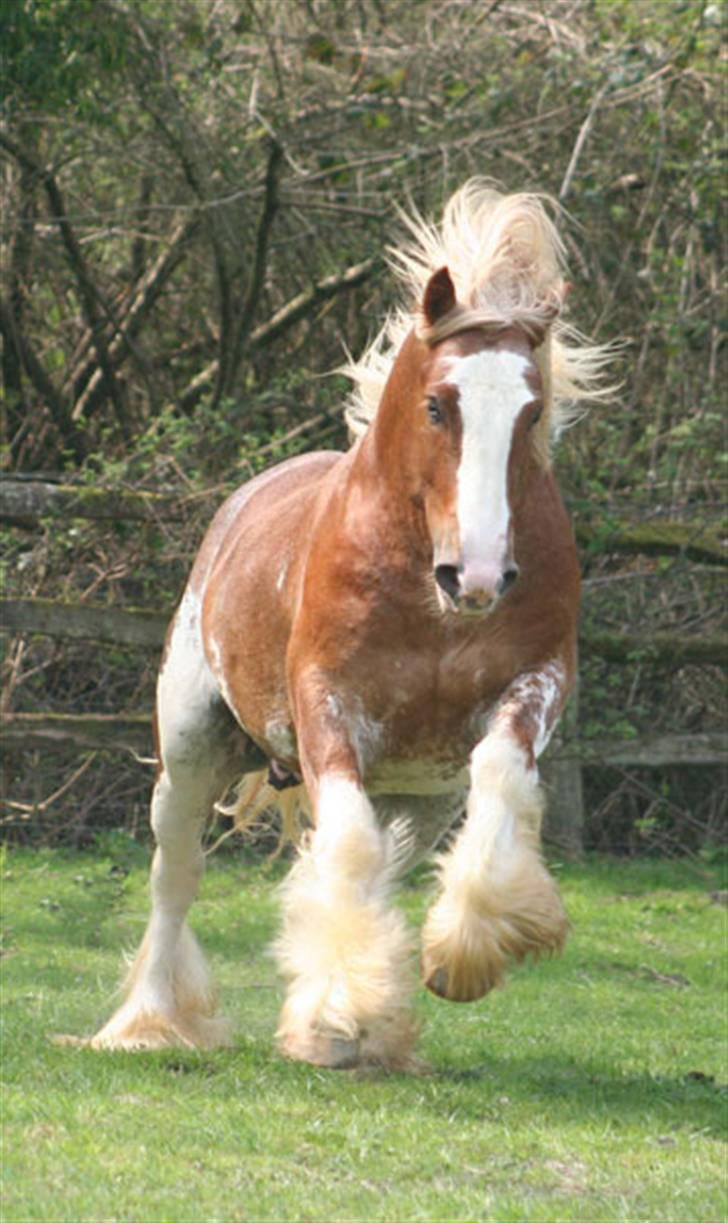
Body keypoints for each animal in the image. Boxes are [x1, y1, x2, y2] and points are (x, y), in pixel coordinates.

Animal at [83, 183, 609, 1071]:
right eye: (437, 404)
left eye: (533, 409)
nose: (478, 577)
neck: (421, 588)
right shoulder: (327, 702)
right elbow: (348, 843)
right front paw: (339, 1011)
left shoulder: (533, 683)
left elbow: (498, 777)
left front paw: (464, 951)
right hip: (189, 749)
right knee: (176, 874)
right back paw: (150, 1022)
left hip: (418, 793)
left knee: (379, 864)